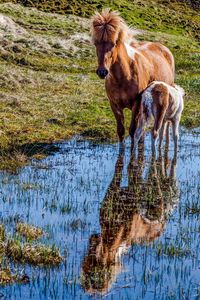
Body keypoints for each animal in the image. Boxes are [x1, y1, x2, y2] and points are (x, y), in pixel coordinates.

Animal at [90, 9, 175, 143]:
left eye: (113, 43)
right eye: (96, 43)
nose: (102, 72)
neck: (122, 77)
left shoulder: (136, 105)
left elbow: (132, 131)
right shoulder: (114, 105)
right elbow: (121, 131)